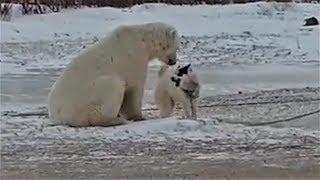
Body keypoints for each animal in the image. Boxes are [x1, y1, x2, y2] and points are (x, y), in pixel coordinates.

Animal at [49, 22, 181, 126]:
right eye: (176, 47)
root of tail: (60, 117)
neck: (142, 39)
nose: (173, 61)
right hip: (88, 96)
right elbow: (134, 87)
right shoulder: (135, 58)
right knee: (113, 86)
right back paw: (116, 120)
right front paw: (138, 116)